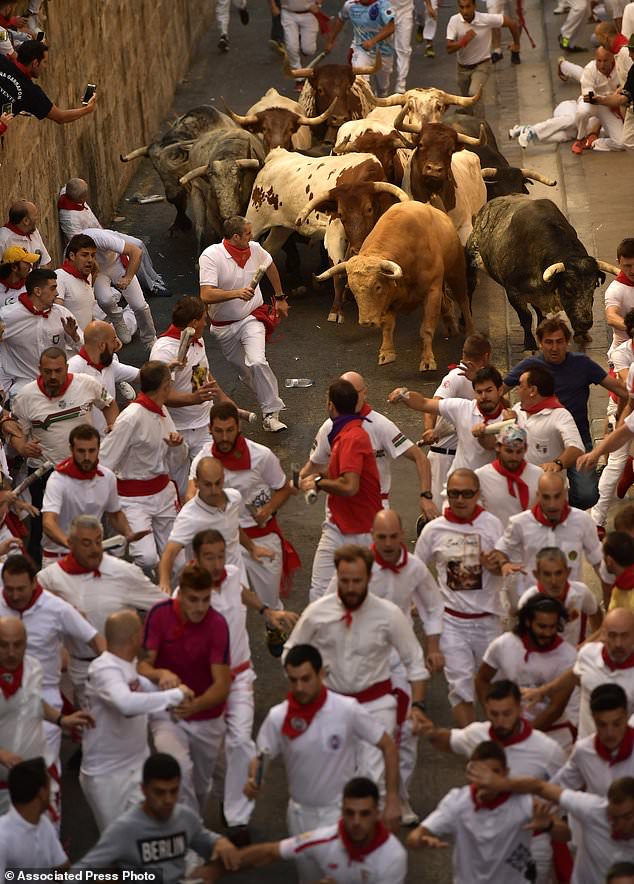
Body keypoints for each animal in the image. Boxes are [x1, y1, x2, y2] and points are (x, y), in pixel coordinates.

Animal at [314, 202, 472, 372]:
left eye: (377, 287)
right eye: (353, 289)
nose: (366, 321)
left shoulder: (432, 291)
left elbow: (427, 328)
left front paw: (427, 360)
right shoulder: (389, 299)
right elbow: (388, 326)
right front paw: (386, 354)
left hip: (456, 273)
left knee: (463, 300)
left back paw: (470, 333)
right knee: (447, 303)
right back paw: (451, 326)